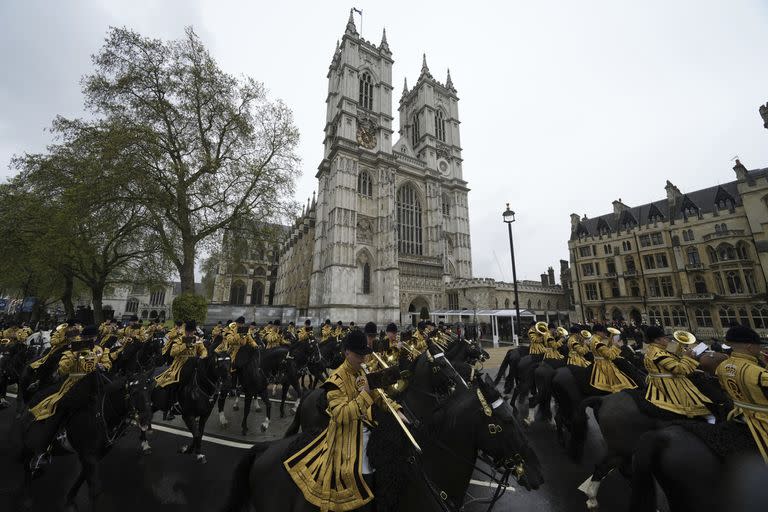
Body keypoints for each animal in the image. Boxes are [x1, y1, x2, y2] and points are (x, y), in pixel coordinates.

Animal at [13, 368, 155, 512]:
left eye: (150, 390)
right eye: (134, 392)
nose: (146, 419)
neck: (101, 415)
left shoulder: (96, 455)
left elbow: (83, 477)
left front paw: (70, 499)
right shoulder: (88, 455)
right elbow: (94, 489)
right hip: (30, 444)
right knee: (27, 463)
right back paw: (28, 497)